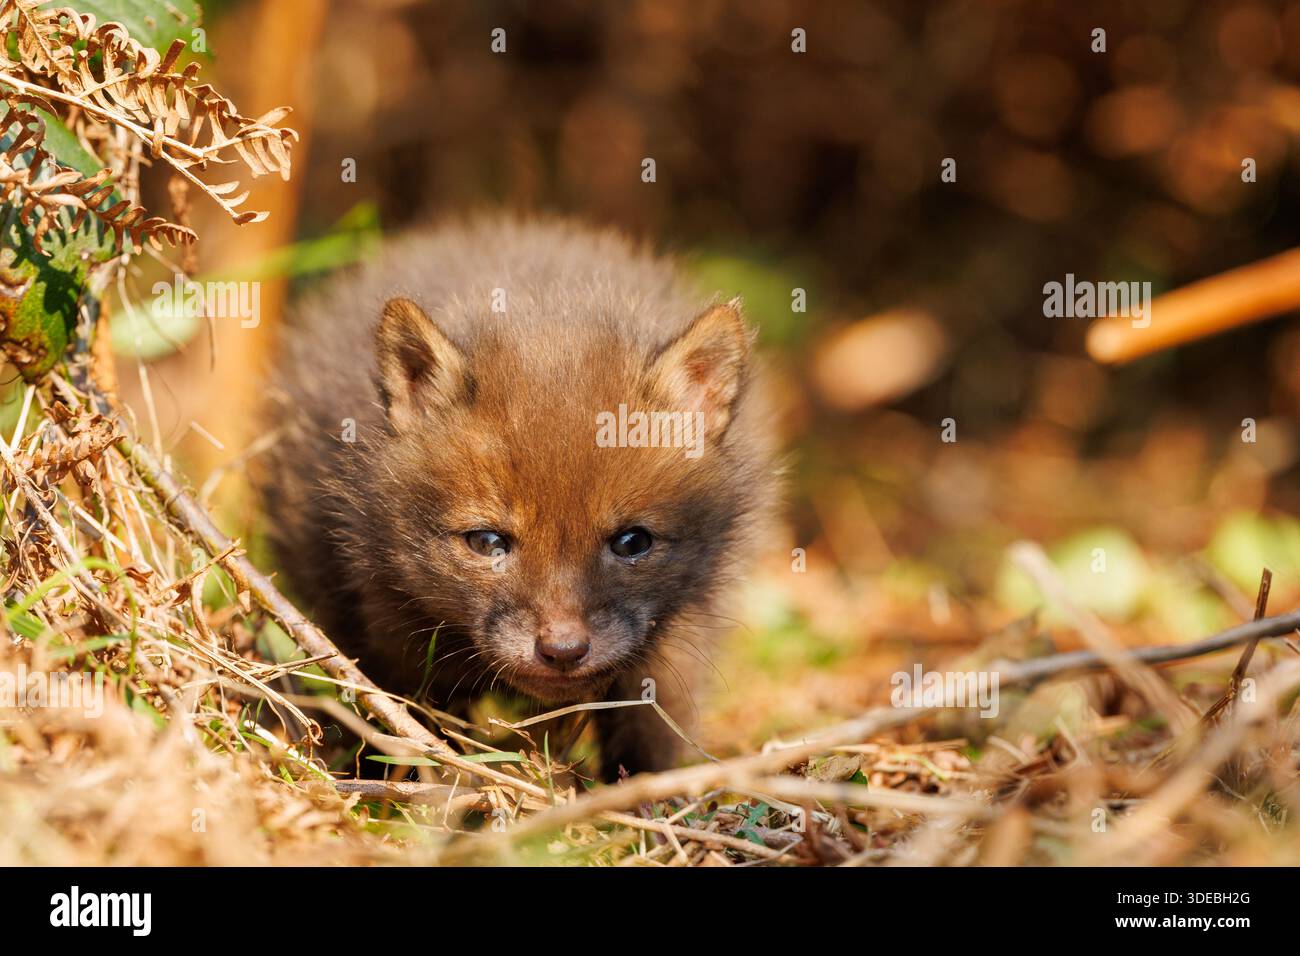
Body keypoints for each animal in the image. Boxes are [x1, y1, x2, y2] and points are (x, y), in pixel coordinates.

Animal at [256, 217, 776, 778]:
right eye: (487, 542)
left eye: (633, 542)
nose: (563, 650)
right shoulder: (392, 635)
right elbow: (412, 736)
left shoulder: (677, 642)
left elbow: (653, 746)